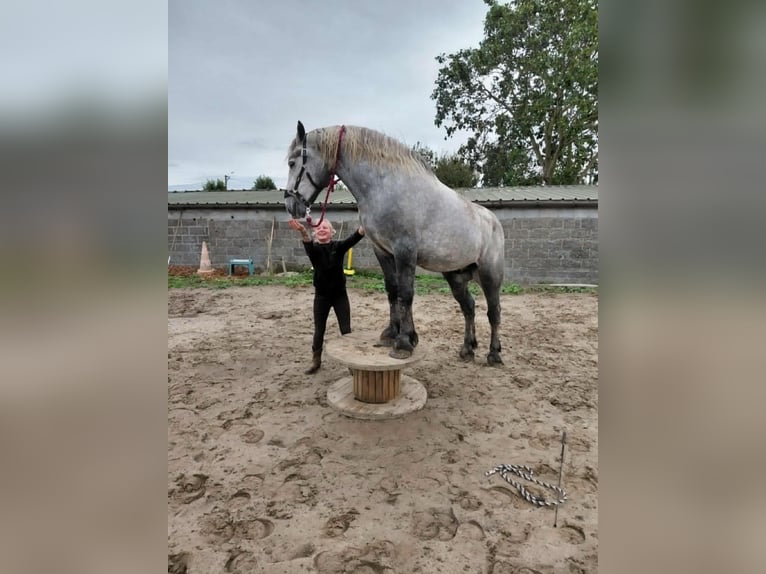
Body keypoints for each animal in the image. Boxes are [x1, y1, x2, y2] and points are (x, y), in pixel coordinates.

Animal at [284, 121, 505, 365]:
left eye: (292, 163)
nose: (290, 205)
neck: (384, 186)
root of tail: (493, 221)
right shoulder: (382, 251)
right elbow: (392, 290)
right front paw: (393, 333)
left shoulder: (404, 251)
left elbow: (406, 294)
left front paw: (404, 343)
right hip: (455, 276)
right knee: (469, 307)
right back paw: (467, 348)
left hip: (490, 275)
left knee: (493, 311)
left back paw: (494, 353)